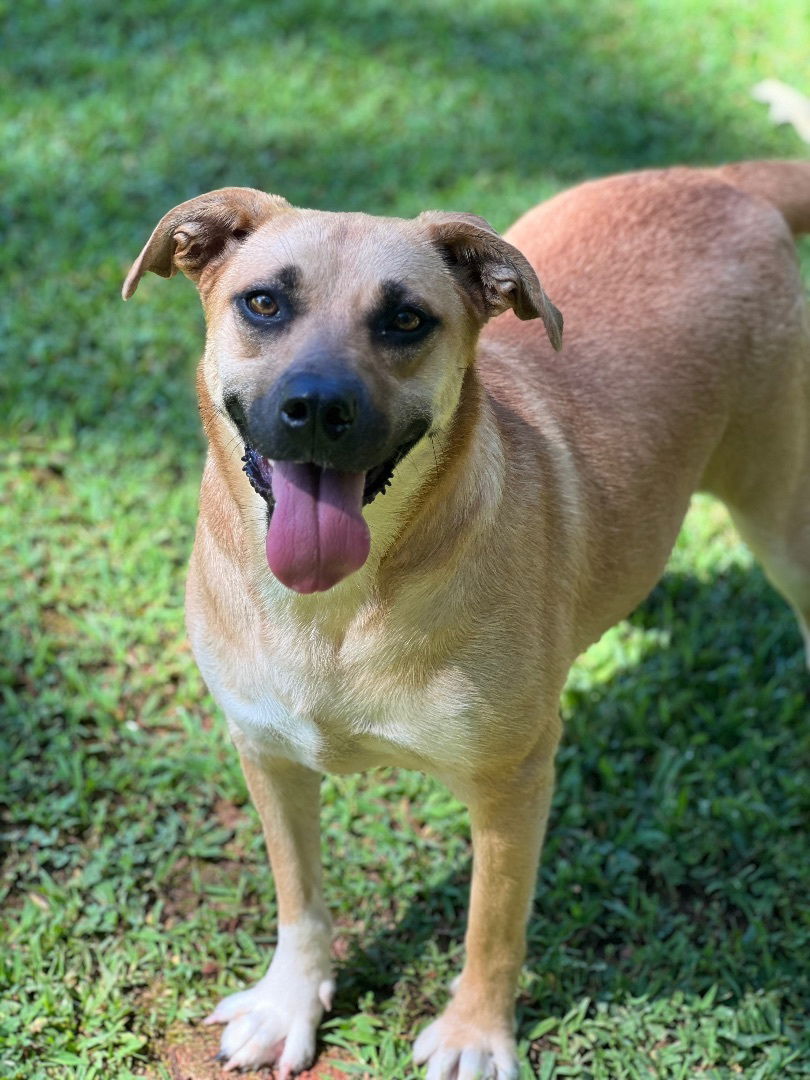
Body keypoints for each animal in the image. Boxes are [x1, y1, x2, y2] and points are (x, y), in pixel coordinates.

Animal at [123, 162, 810, 1080]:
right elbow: (299, 894)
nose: (317, 407)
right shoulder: (266, 751)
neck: (340, 608)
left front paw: (475, 1035)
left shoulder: (512, 780)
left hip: (781, 512)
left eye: (406, 319)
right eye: (263, 303)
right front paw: (288, 1002)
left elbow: (493, 925)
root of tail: (716, 176)